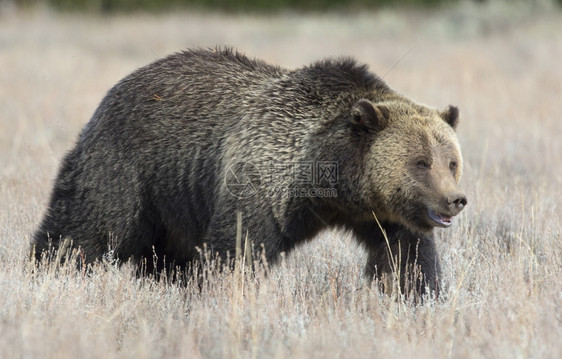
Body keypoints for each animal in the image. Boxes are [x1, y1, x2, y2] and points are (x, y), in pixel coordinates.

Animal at [32, 47, 466, 296]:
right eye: (420, 162)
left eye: (451, 161)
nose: (455, 200)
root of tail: (117, 88)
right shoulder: (263, 182)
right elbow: (238, 249)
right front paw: (223, 291)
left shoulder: (383, 214)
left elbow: (406, 257)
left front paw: (418, 294)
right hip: (127, 164)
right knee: (87, 227)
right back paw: (48, 271)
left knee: (166, 258)